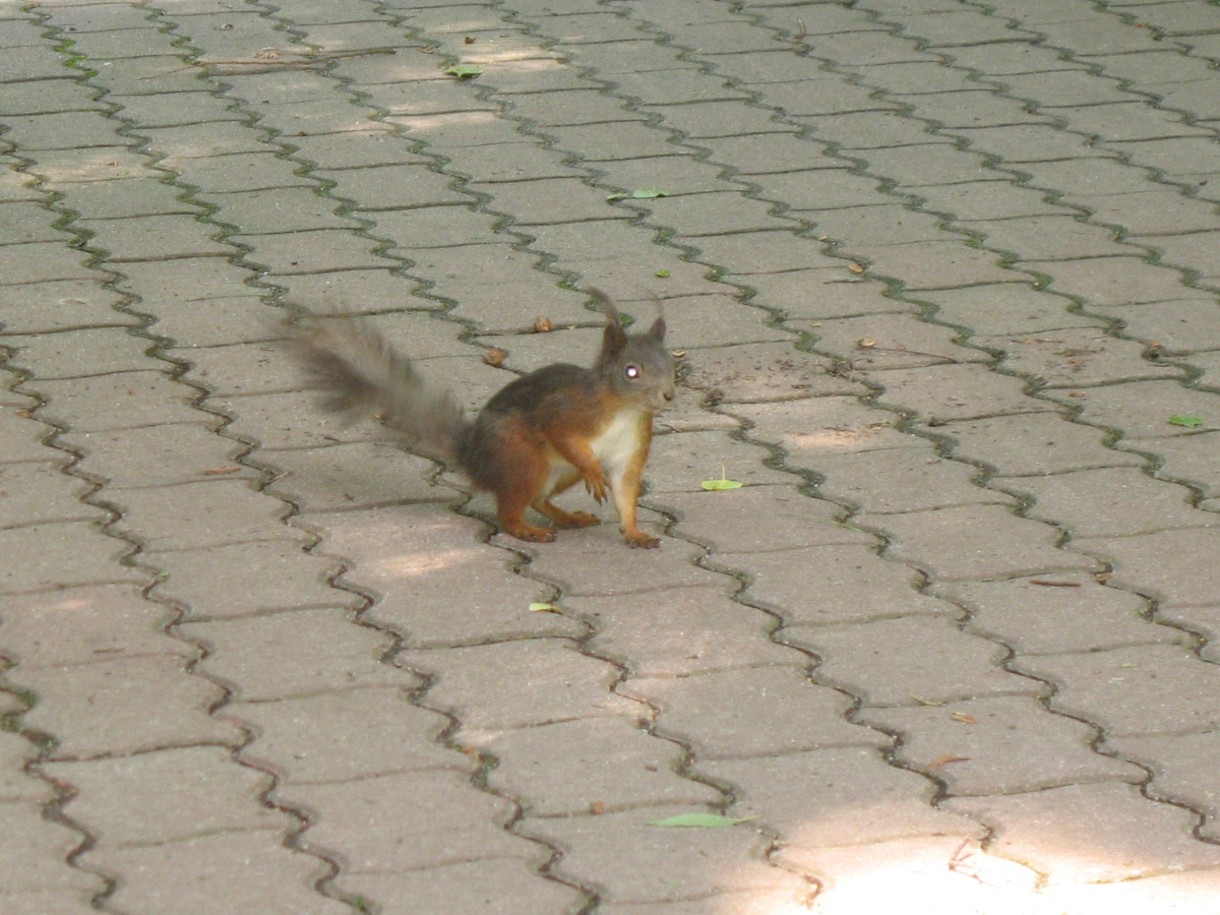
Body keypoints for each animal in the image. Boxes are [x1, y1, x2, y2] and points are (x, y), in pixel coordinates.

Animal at [291, 291, 683, 551]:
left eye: (670, 364)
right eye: (631, 371)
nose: (668, 395)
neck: (624, 410)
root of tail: (475, 461)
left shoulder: (631, 448)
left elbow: (626, 493)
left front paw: (634, 532)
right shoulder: (566, 411)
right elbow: (562, 434)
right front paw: (593, 473)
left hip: (555, 473)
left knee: (536, 500)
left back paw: (568, 518)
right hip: (522, 457)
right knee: (508, 511)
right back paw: (528, 530)